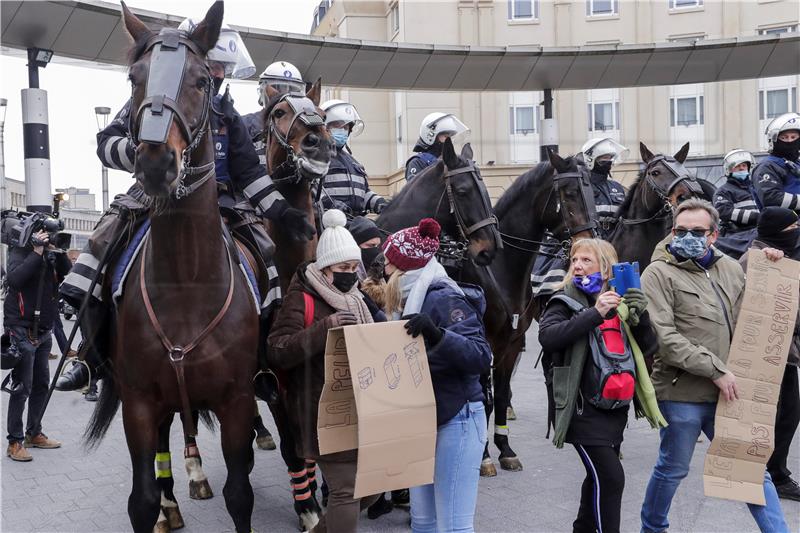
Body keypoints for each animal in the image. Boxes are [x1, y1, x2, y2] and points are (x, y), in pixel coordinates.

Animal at [83, 5, 256, 532]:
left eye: (201, 80)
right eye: (134, 78)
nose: (157, 163)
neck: (185, 287)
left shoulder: (237, 400)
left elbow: (240, 494)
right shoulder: (139, 402)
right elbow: (139, 500)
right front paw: (159, 505)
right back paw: (172, 503)